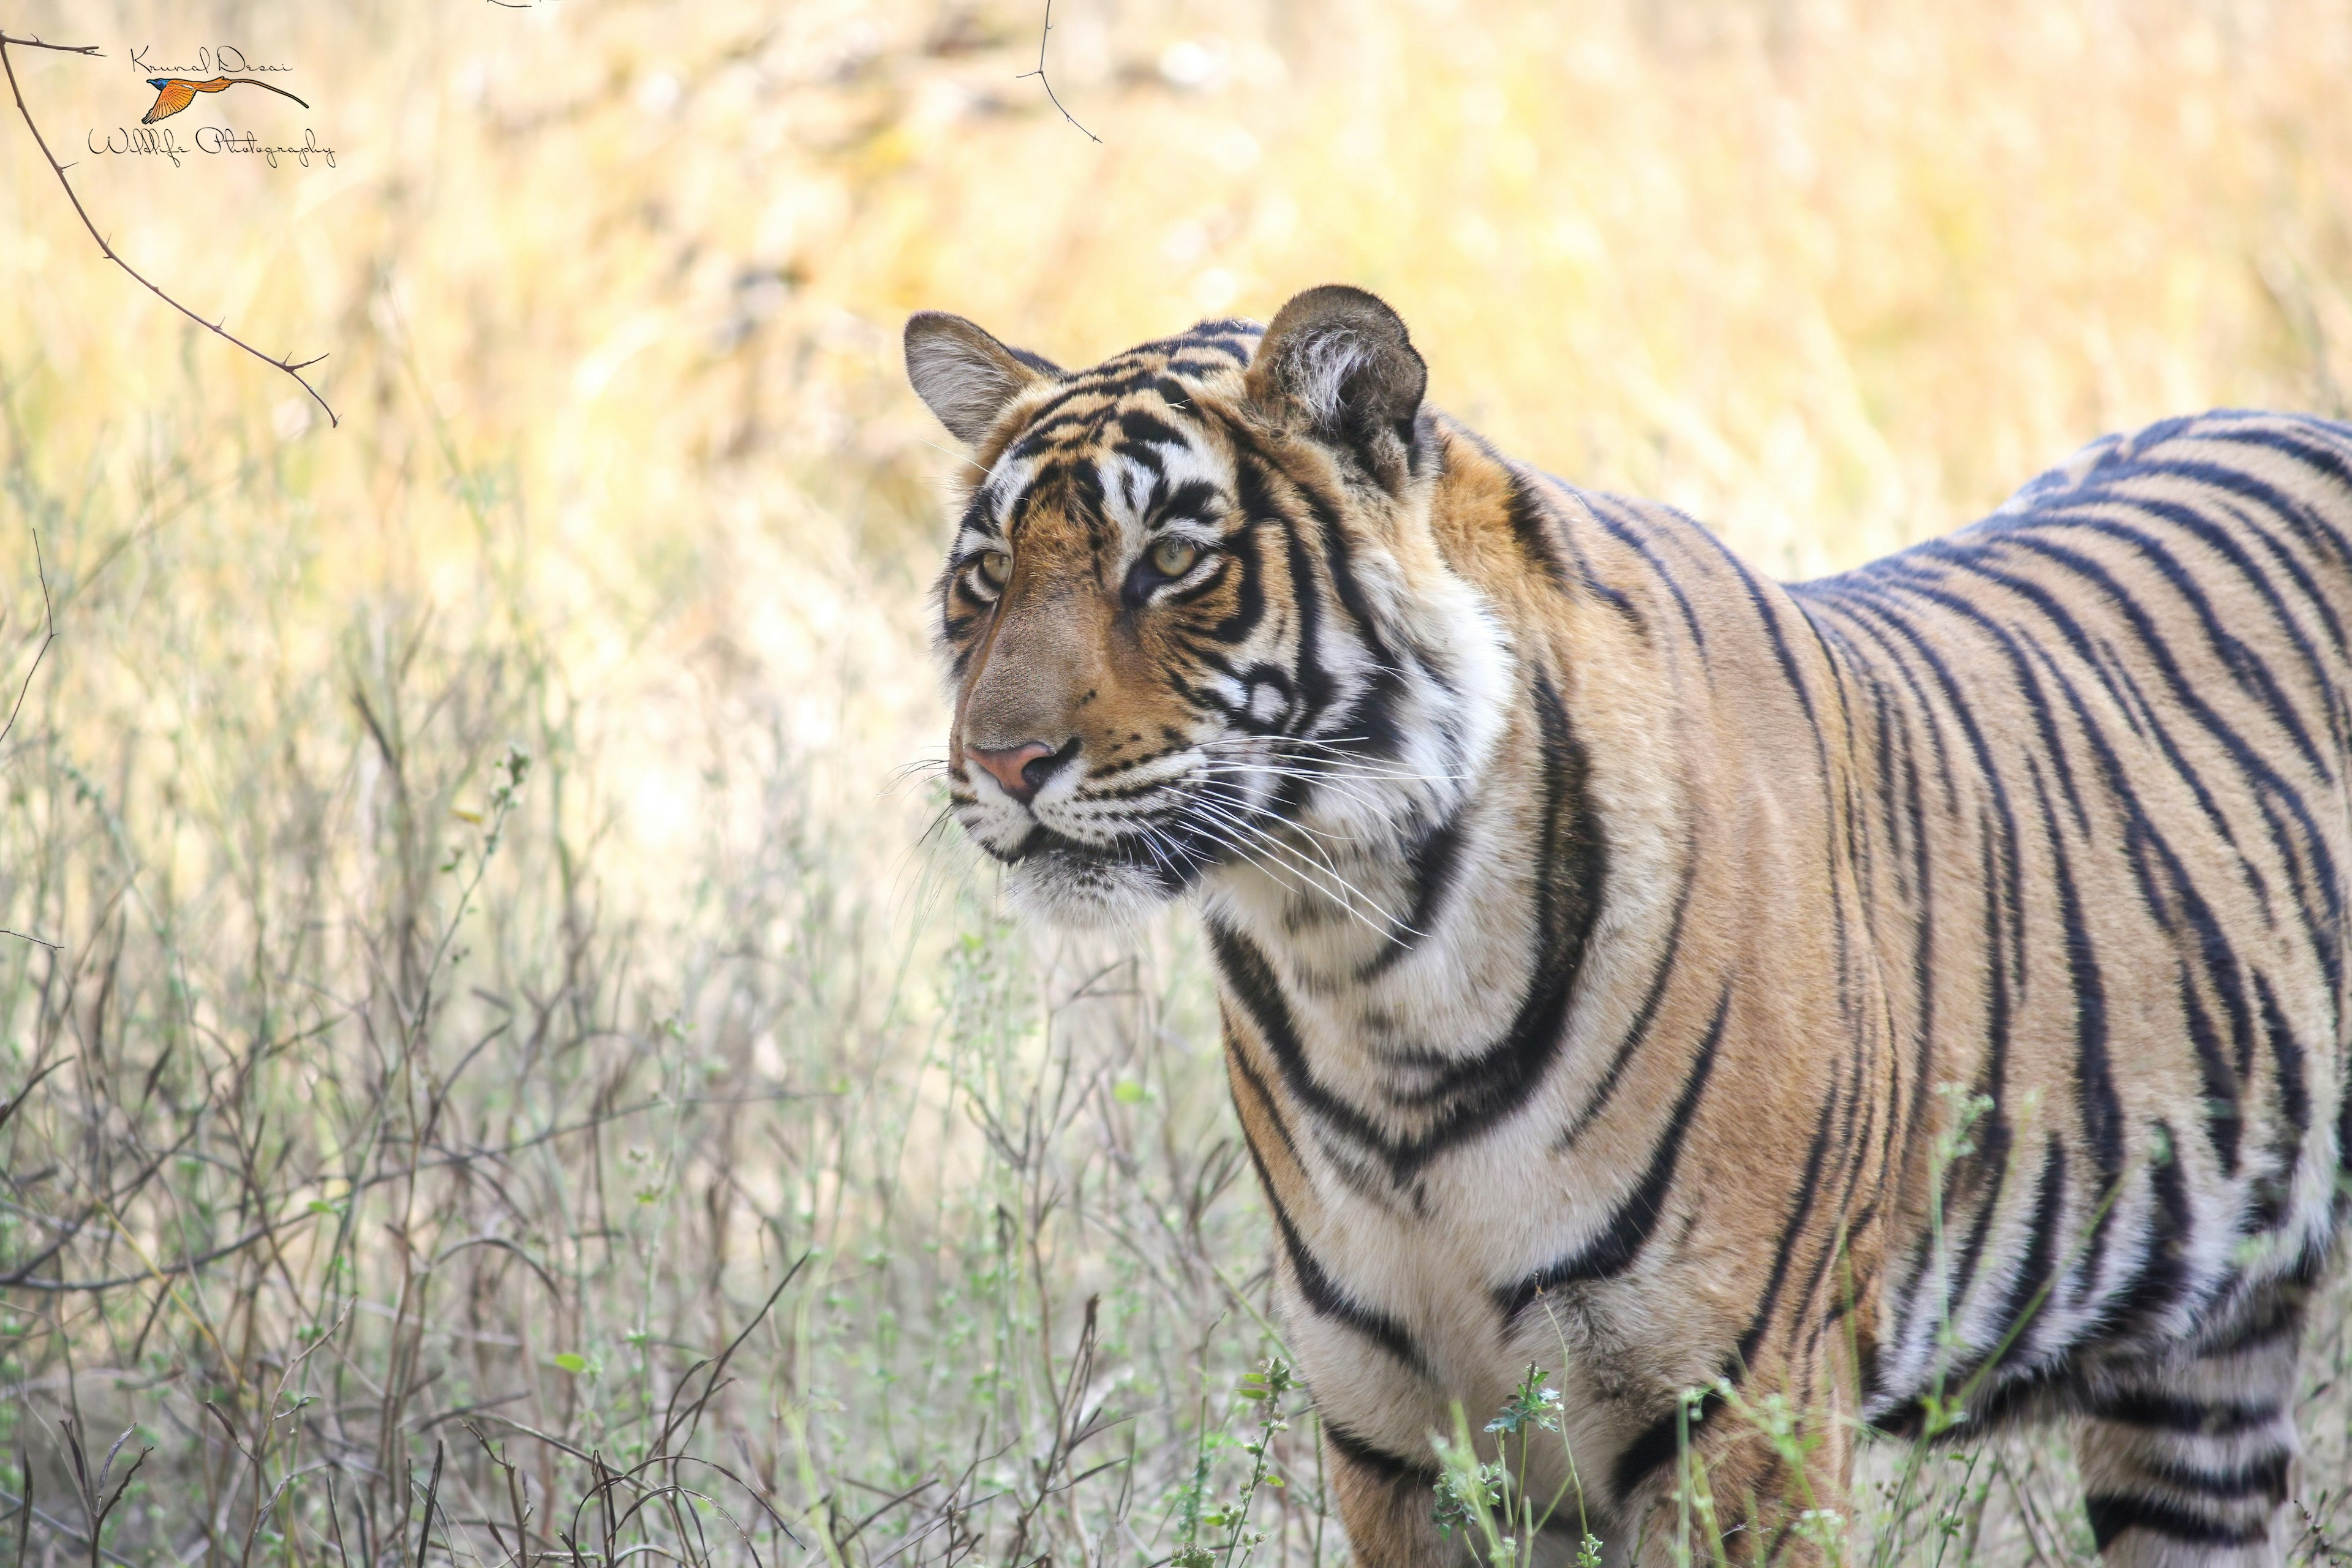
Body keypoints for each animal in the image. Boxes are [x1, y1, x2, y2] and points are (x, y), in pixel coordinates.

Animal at [903, 285, 2352, 1568]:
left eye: (1170, 562)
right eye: (987, 574)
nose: (999, 762)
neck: (1368, 963)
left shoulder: (1742, 1413)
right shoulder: (1397, 1438)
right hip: (2195, 1380)